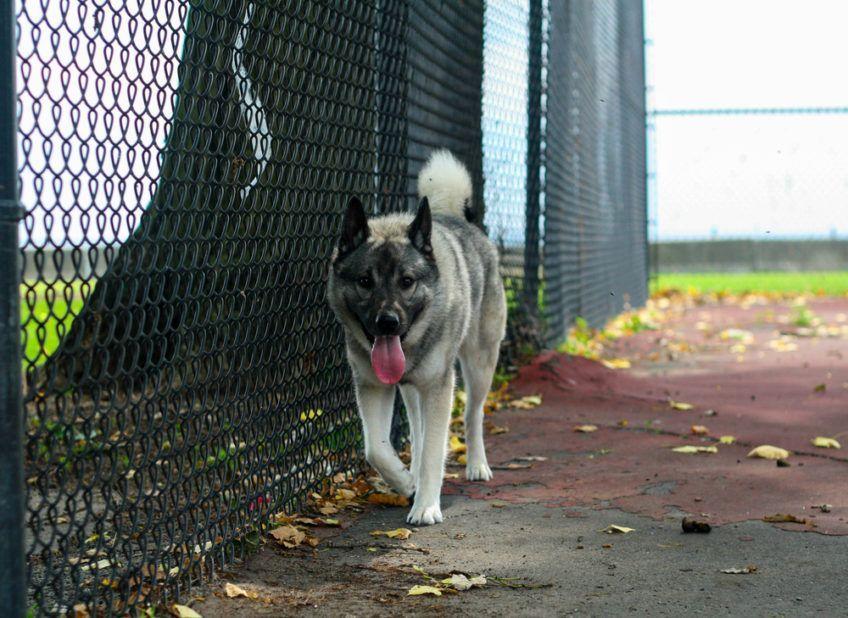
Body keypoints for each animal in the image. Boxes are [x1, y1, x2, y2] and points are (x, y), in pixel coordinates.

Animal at [328, 150, 506, 524]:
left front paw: (425, 505)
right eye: (364, 281)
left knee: (473, 415)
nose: (388, 322)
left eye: (407, 281)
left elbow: (435, 449)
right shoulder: (374, 386)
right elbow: (376, 449)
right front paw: (406, 482)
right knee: (419, 430)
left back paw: (477, 465)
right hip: (412, 389)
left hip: (479, 363)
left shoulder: (438, 386)